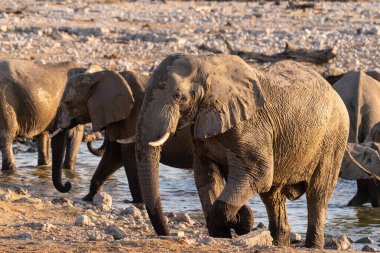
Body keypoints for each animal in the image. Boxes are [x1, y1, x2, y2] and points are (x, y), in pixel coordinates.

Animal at [50, 68, 193, 202]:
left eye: (68, 103)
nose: (68, 184)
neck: (97, 77)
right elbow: (114, 155)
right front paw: (87, 198)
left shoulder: (135, 114)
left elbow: (128, 155)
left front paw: (138, 203)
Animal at [125, 54, 350, 248]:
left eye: (179, 97)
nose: (166, 235)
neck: (206, 63)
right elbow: (206, 177)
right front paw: (222, 235)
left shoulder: (251, 126)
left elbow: (257, 174)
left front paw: (238, 219)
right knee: (273, 197)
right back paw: (279, 243)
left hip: (334, 137)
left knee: (317, 193)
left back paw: (313, 245)